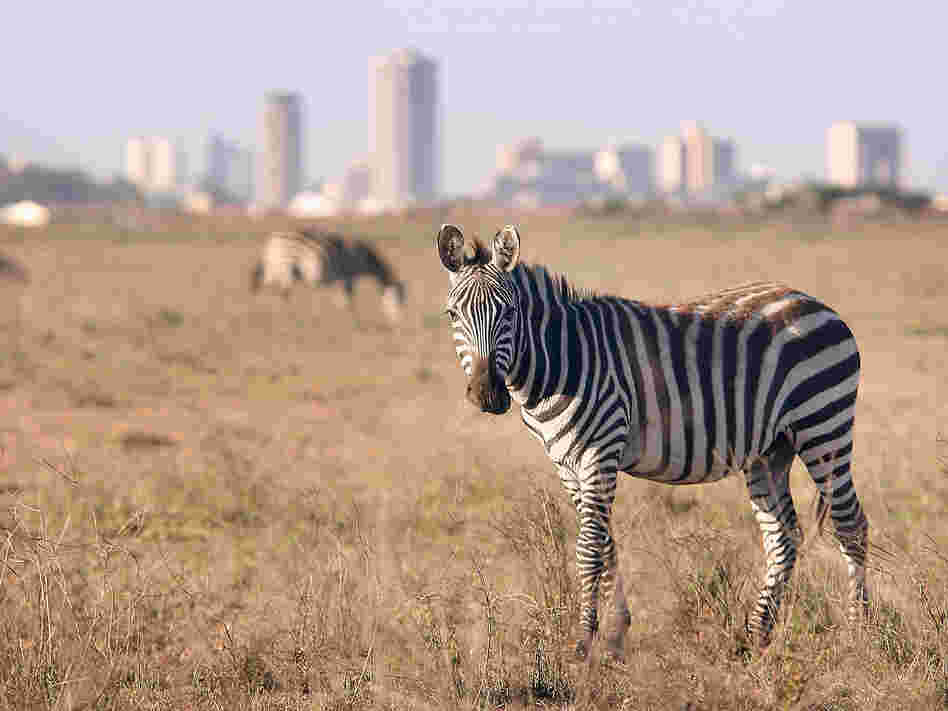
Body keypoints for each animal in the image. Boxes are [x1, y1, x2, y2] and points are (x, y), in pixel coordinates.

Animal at [251, 230, 406, 321]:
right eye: (396, 299)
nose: (397, 321)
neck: (362, 258)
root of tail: (273, 239)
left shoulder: (342, 279)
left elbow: (341, 299)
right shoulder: (349, 277)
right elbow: (349, 300)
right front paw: (352, 320)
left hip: (275, 268)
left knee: (264, 286)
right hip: (284, 267)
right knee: (281, 292)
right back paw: (286, 316)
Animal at [435, 223, 869, 661]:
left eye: (508, 312)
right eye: (452, 315)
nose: (488, 395)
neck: (560, 360)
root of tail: (814, 302)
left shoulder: (601, 450)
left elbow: (589, 547)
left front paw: (583, 643)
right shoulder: (566, 462)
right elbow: (606, 543)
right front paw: (615, 635)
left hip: (823, 425)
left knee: (851, 525)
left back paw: (858, 634)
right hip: (770, 450)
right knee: (783, 537)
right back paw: (756, 636)